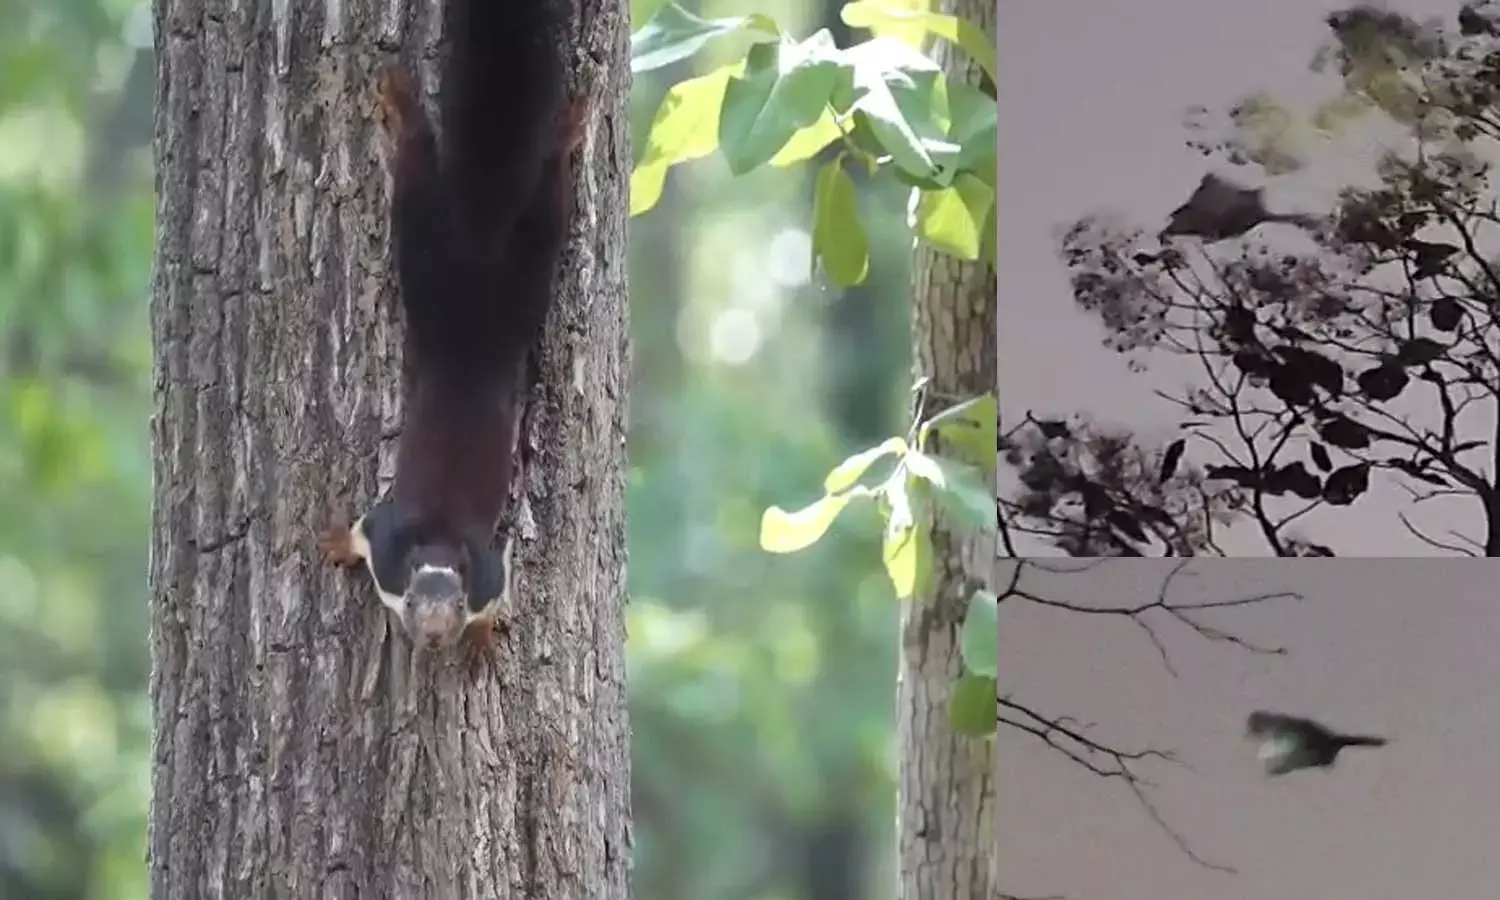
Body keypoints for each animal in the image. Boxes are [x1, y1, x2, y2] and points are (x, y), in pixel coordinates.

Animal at [318, 0, 587, 670]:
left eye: (457, 601)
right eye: (414, 601)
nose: (436, 636)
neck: (437, 548)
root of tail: (479, 238)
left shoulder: (488, 573)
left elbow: (500, 594)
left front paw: (483, 639)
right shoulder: (390, 551)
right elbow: (363, 529)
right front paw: (335, 540)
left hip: (512, 281)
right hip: (435, 256)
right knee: (430, 171)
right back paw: (407, 103)